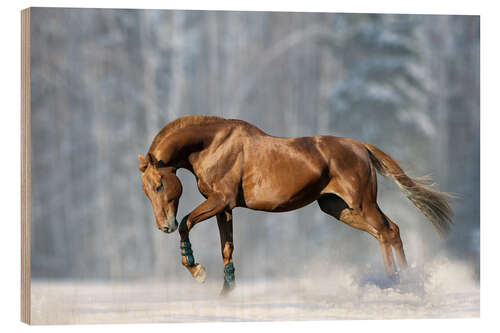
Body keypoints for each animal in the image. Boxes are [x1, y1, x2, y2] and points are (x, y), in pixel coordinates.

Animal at [138, 114, 454, 294]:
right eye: (146, 192)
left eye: (159, 185)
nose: (164, 226)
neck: (212, 144)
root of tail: (361, 147)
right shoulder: (224, 208)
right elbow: (227, 249)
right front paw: (226, 293)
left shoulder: (219, 200)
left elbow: (187, 223)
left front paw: (196, 270)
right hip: (339, 208)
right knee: (387, 232)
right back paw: (401, 281)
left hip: (362, 203)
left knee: (388, 232)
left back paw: (403, 283)